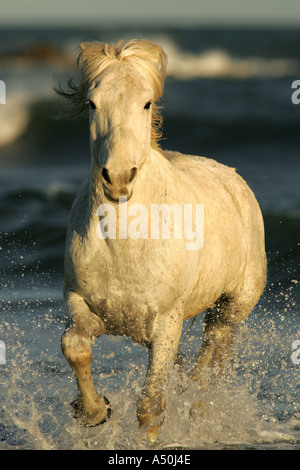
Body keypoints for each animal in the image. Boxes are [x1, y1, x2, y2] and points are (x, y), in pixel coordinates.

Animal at [56, 38, 268, 442]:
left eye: (146, 103)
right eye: (92, 103)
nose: (118, 178)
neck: (124, 245)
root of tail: (234, 178)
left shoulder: (168, 322)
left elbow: (150, 407)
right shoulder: (82, 303)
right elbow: (74, 346)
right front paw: (94, 411)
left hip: (230, 307)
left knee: (212, 356)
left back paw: (202, 412)